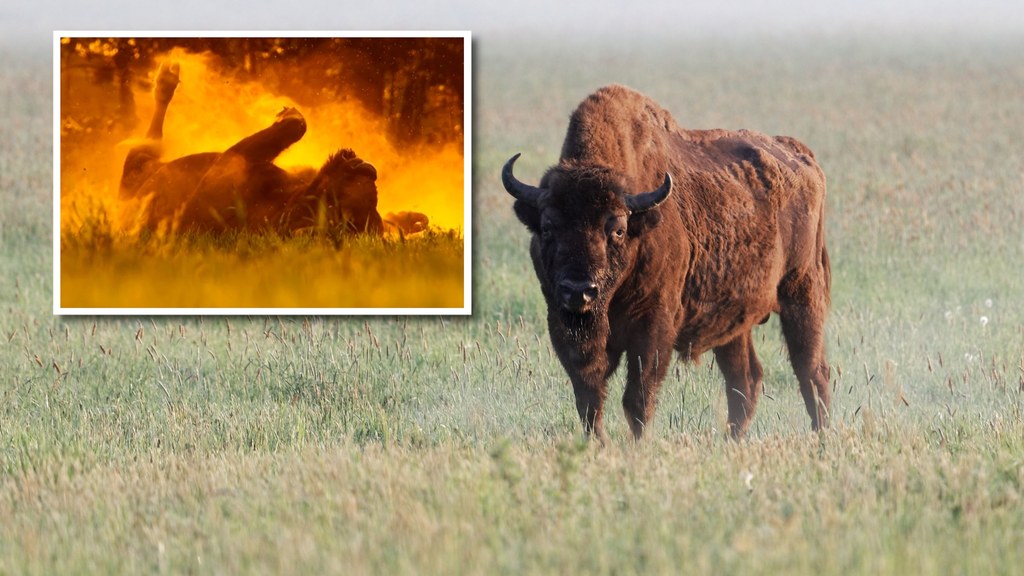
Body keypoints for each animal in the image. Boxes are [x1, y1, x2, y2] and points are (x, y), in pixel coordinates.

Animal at [120, 61, 428, 234]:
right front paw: (411, 219)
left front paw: (288, 113)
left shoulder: (228, 172)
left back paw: (165, 83)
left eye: (360, 192)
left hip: (135, 175)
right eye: (369, 191)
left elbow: (293, 128)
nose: (367, 168)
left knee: (146, 146)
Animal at [503, 83, 831, 436]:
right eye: (547, 227)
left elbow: (638, 397)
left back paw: (821, 436)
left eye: (617, 229)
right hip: (735, 319)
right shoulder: (562, 322)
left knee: (811, 371)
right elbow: (589, 397)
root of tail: (802, 157)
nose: (579, 290)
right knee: (745, 380)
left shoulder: (653, 325)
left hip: (802, 293)